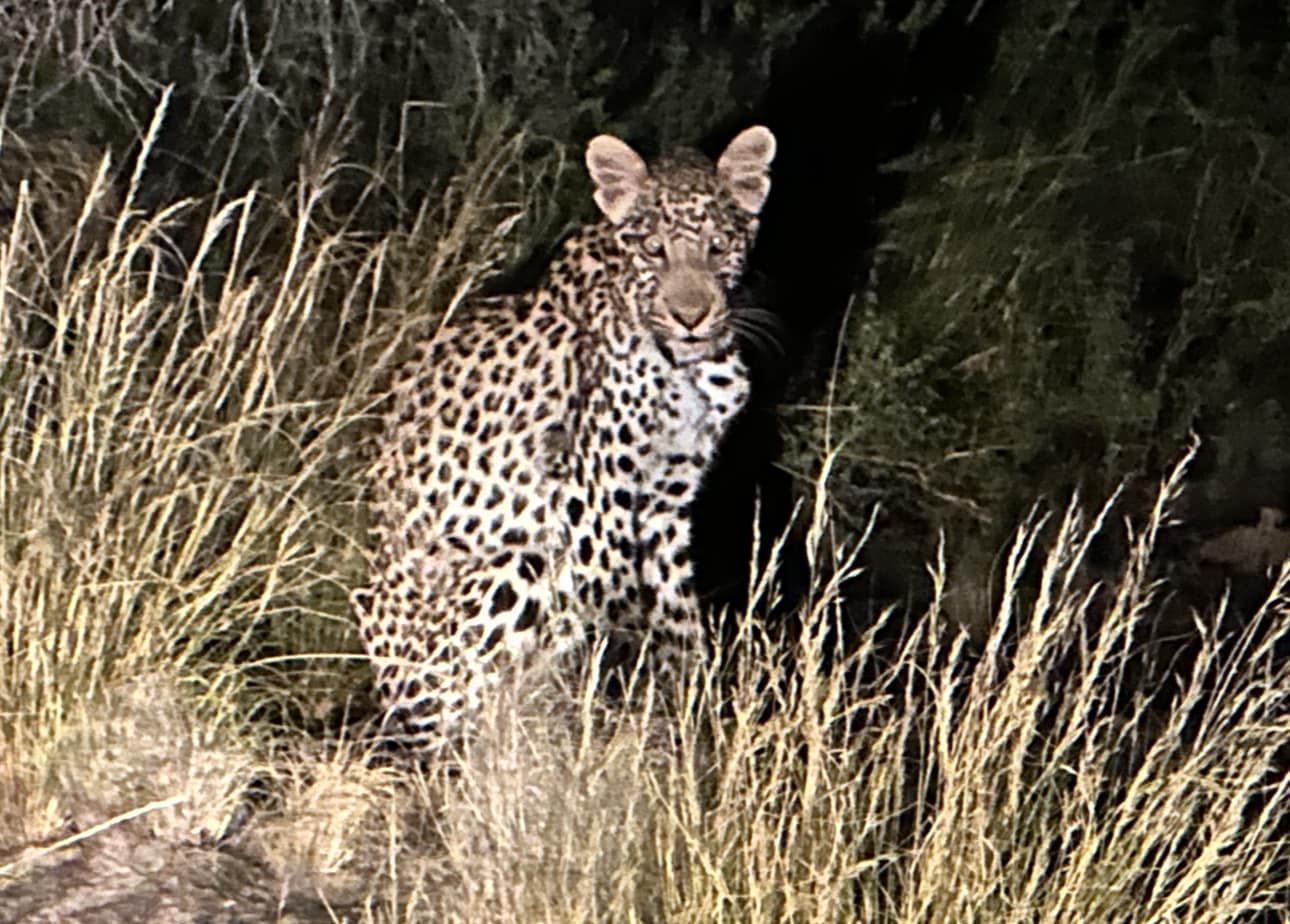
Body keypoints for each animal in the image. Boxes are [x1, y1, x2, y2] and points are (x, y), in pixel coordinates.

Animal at [352, 125, 777, 751]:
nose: (692, 316)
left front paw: (692, 721)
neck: (690, 366)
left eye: (718, 247)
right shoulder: (597, 511)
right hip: (516, 564)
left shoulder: (664, 507)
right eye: (654, 250)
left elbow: (677, 621)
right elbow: (615, 623)